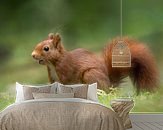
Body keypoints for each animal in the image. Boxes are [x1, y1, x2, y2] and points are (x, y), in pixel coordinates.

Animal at [31, 33, 159, 93]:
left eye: (46, 48)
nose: (33, 55)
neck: (53, 64)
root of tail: (110, 84)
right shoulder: (52, 76)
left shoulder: (66, 70)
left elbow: (65, 83)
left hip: (91, 74)